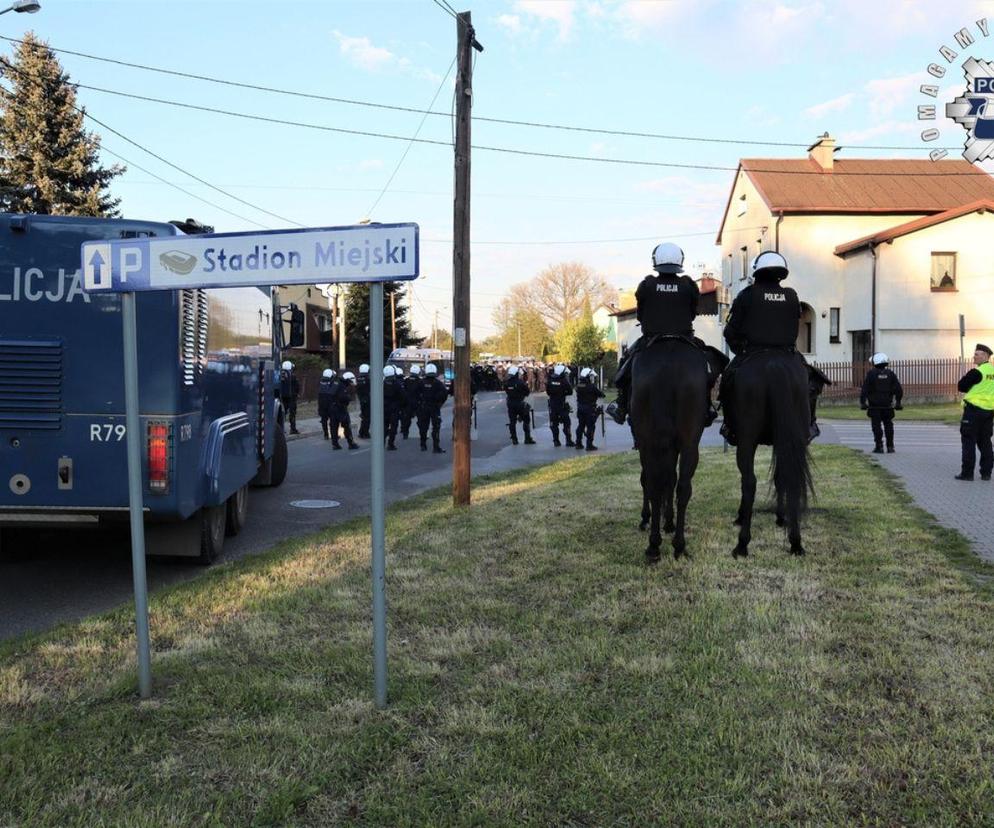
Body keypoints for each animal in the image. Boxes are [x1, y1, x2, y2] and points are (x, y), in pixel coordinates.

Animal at [628, 336, 712, 564]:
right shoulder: (672, 447)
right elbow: (670, 480)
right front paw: (668, 521)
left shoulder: (646, 445)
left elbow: (650, 481)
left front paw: (648, 518)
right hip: (688, 444)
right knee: (682, 487)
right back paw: (678, 545)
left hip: (650, 444)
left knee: (654, 484)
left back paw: (655, 545)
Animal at [724, 350, 808, 556]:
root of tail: (774, 365)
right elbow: (780, 478)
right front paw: (781, 517)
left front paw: (740, 517)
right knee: (792, 480)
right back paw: (796, 542)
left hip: (746, 440)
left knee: (749, 482)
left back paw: (742, 544)